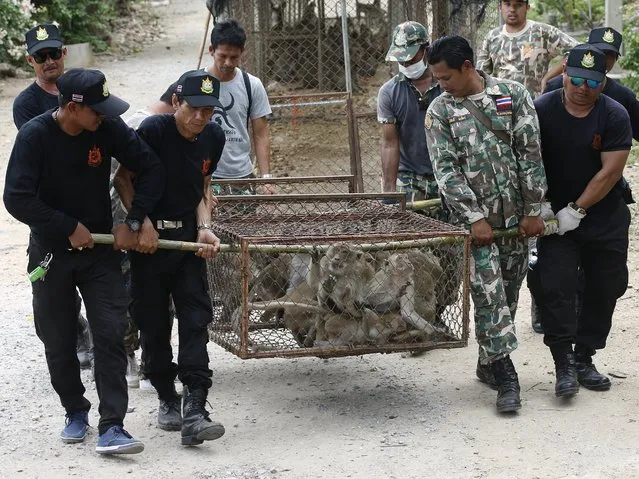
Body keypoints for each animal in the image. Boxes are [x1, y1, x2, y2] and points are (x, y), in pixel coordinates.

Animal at [208, 193, 472, 358]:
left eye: (404, 262)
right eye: (339, 253)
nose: (406, 263)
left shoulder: (404, 281)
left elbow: (404, 310)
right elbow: (341, 291)